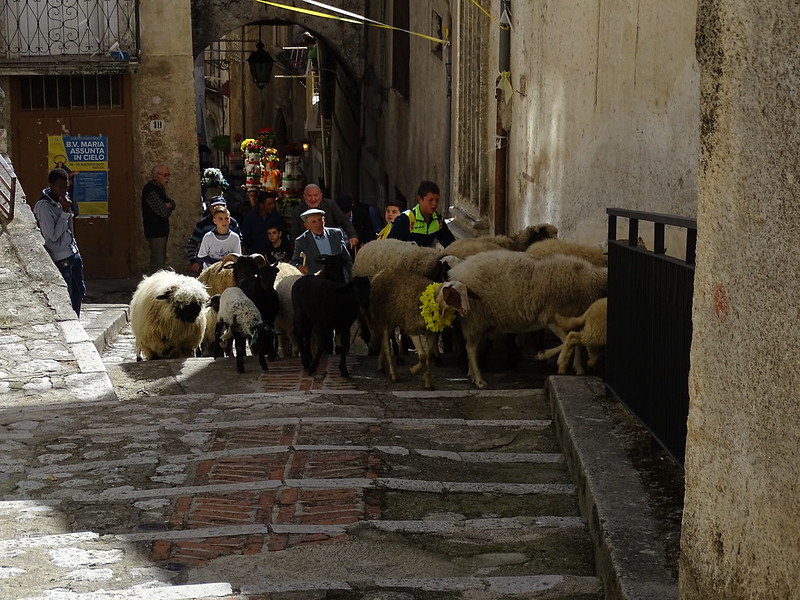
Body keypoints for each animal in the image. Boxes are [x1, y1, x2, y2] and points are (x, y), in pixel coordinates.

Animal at [446, 250, 608, 386]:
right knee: (471, 348)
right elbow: (566, 341)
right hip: (474, 318)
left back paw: (472, 374)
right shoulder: (550, 317)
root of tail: (457, 270)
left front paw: (578, 368)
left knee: (471, 346)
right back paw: (479, 380)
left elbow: (575, 343)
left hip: (479, 320)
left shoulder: (573, 318)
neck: (588, 280)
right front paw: (542, 355)